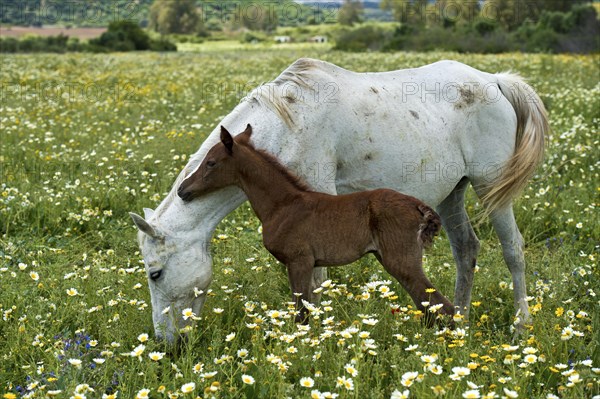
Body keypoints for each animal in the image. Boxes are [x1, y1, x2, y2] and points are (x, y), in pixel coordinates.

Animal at [178, 125, 454, 324]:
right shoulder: (310, 264)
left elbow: (301, 313)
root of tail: (418, 205)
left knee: (444, 307)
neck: (282, 205)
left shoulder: (299, 260)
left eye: (211, 162)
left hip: (401, 260)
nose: (183, 190)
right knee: (427, 306)